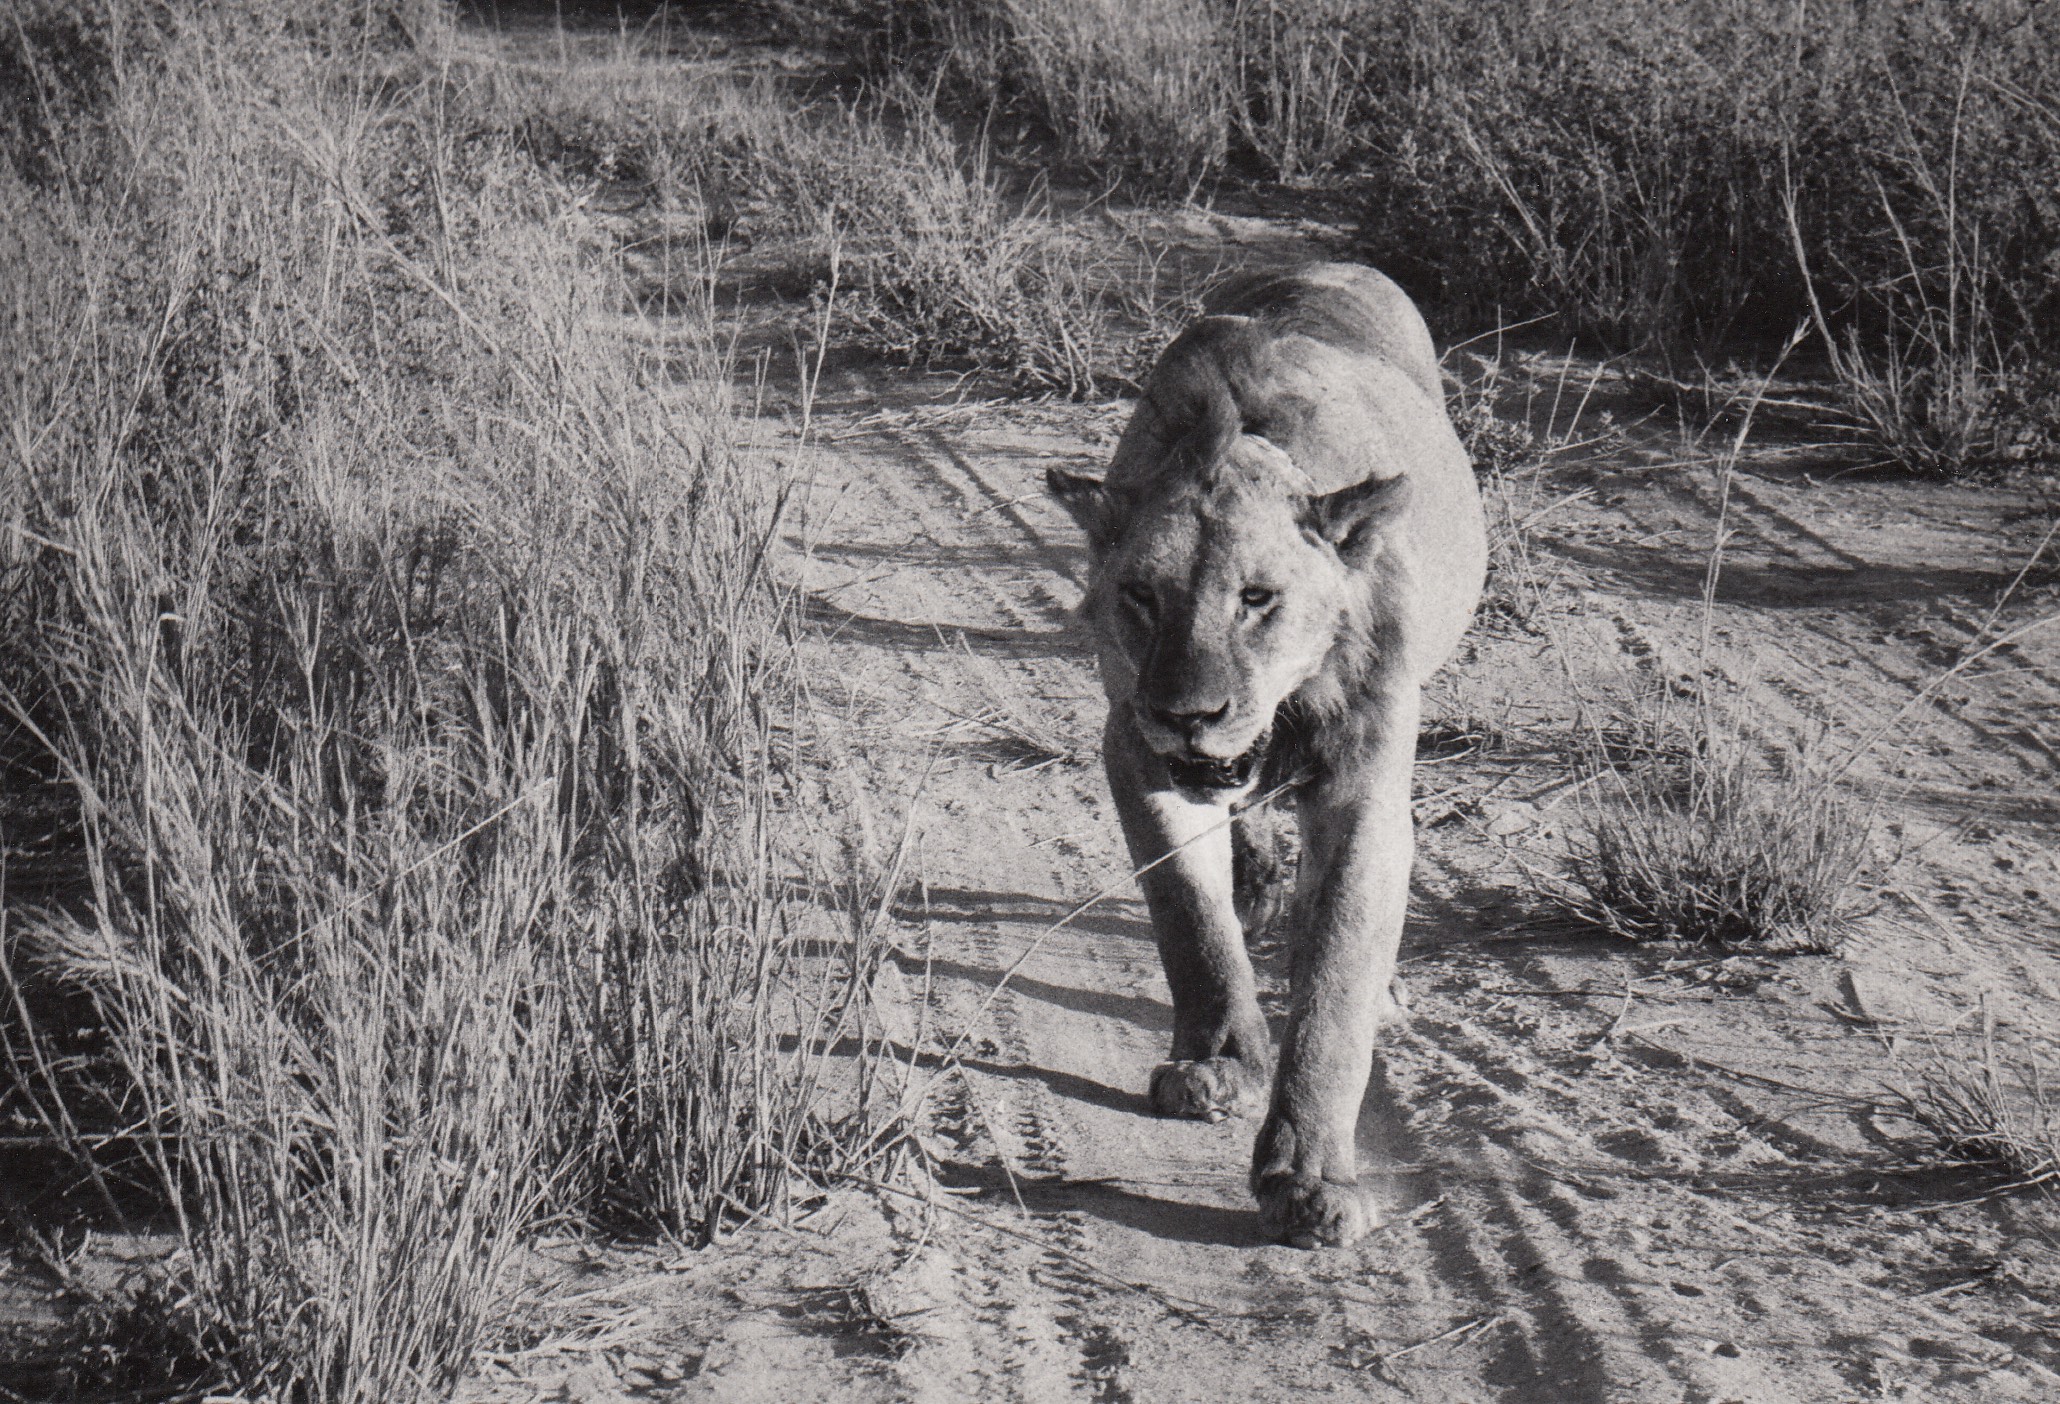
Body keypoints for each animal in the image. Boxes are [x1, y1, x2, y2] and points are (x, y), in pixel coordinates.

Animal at [1046, 262, 1483, 1243]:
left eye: (1257, 598)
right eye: (1141, 595)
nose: (1188, 713)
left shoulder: (1364, 786)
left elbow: (1334, 984)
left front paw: (1311, 1177)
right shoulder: (1134, 752)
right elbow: (1189, 919)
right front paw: (1217, 1064)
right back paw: (1254, 884)